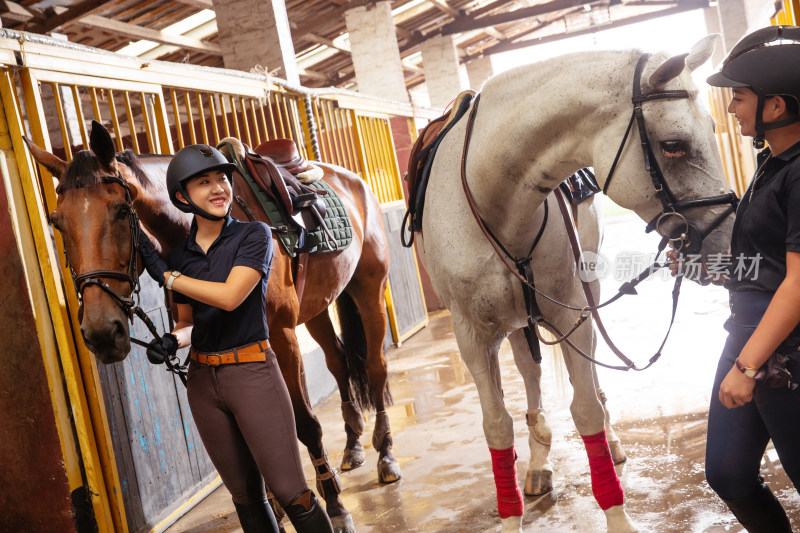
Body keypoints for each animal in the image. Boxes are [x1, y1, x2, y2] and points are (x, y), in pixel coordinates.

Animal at [28, 121, 400, 532]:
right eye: (57, 222)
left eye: (122, 211)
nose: (101, 332)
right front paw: (277, 508)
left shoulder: (282, 337)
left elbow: (305, 423)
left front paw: (334, 505)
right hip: (317, 308)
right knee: (338, 363)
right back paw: (352, 448)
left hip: (369, 289)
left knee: (375, 366)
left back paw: (385, 456)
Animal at [416, 35, 736, 528]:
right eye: (674, 144)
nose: (726, 239)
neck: (493, 197)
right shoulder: (471, 335)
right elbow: (497, 427)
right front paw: (510, 517)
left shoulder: (573, 314)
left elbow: (586, 410)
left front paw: (618, 518)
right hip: (518, 320)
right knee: (530, 375)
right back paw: (537, 464)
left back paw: (607, 441)